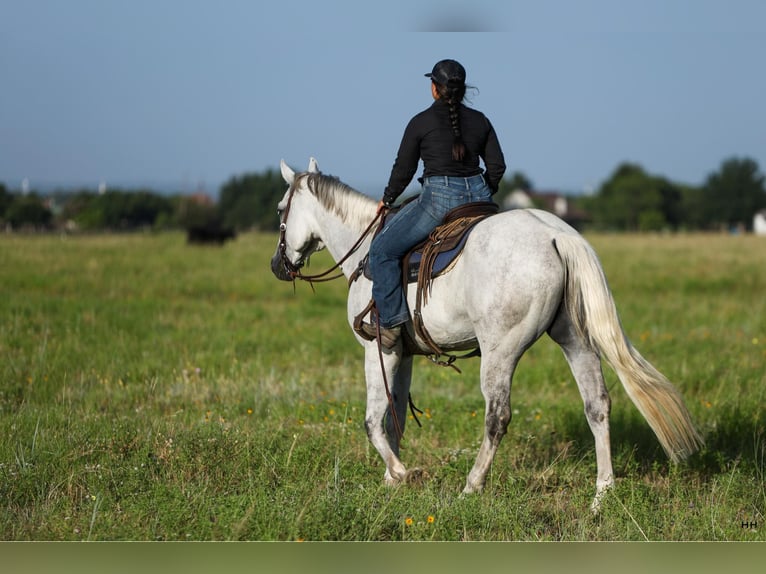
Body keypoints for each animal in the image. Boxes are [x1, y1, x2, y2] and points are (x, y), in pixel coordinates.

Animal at [270, 158, 704, 512]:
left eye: (279, 209)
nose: (278, 265)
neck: (364, 252)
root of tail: (557, 235)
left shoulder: (379, 348)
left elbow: (374, 420)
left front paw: (403, 473)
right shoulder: (404, 355)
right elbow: (396, 419)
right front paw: (391, 480)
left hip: (501, 352)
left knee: (497, 416)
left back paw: (472, 486)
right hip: (575, 341)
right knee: (597, 405)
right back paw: (602, 494)